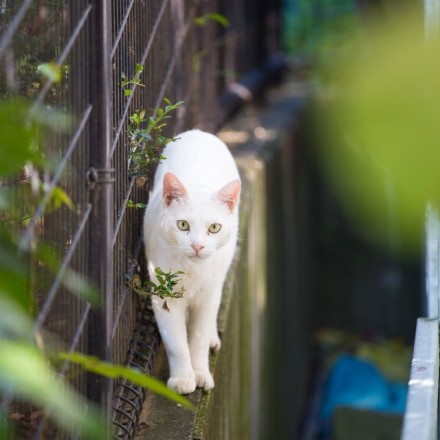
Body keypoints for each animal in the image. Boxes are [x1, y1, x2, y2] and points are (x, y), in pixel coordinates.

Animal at [144, 129, 241, 394]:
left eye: (214, 228)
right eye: (183, 225)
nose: (197, 246)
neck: (191, 270)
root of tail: (198, 132)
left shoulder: (208, 296)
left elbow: (198, 339)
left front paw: (200, 373)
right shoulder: (163, 296)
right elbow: (177, 343)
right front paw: (182, 378)